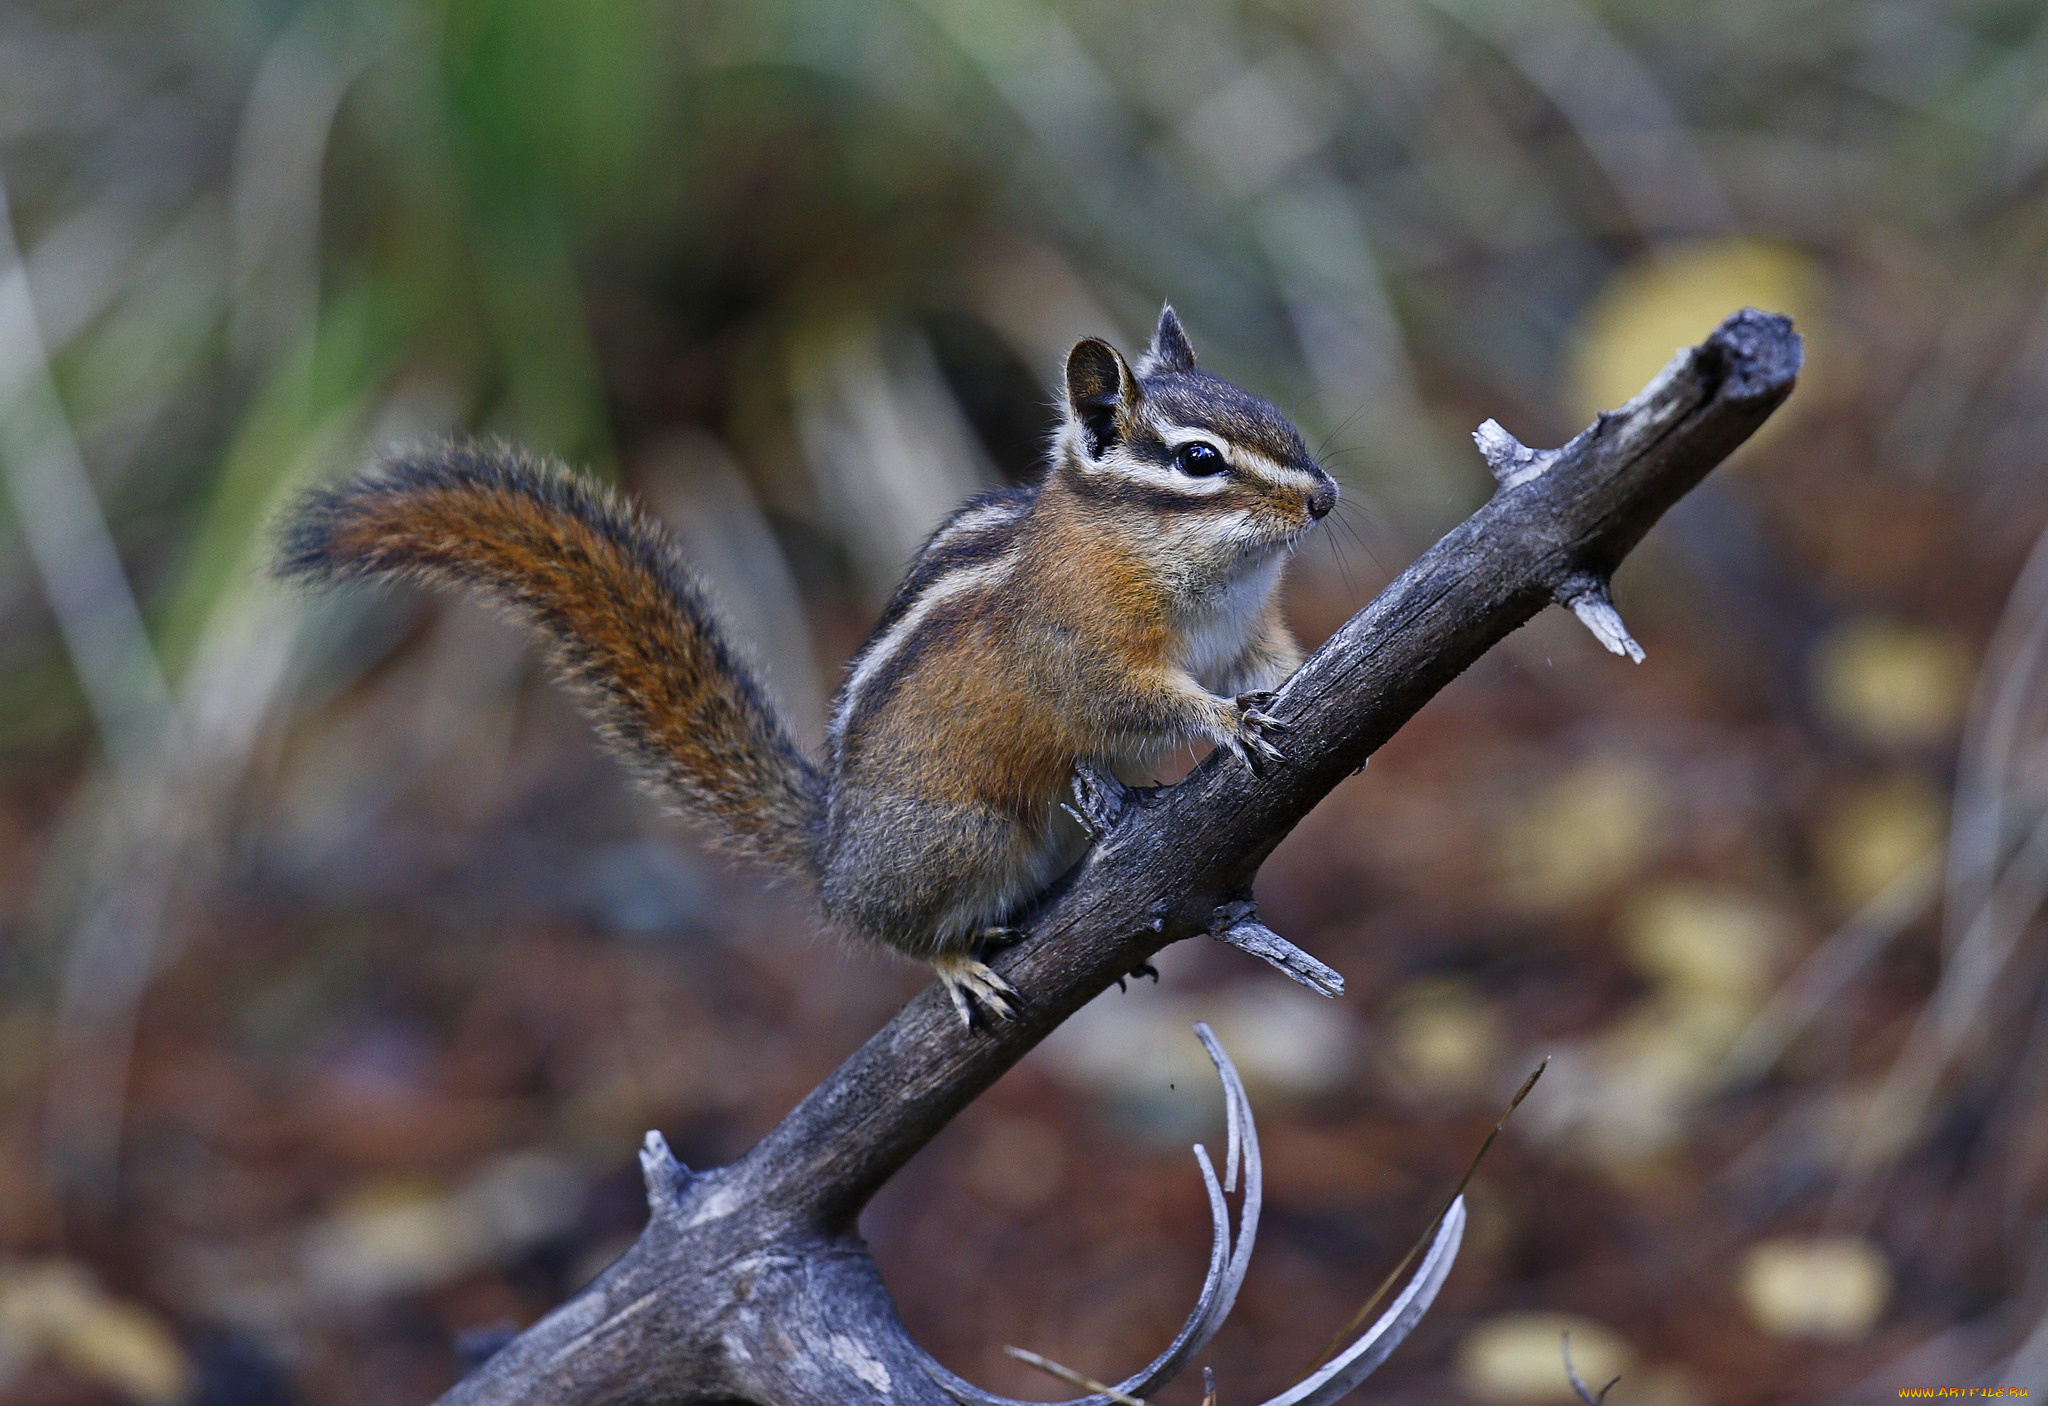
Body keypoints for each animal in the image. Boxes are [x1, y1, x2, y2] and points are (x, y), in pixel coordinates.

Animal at [275, 305, 1336, 1025]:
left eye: (1276, 414)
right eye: (1199, 460)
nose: (1324, 498)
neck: (1184, 570)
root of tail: (832, 853)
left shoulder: (1246, 633)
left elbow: (1273, 656)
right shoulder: (1082, 653)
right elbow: (1138, 700)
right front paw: (1227, 722)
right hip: (964, 837)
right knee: (892, 930)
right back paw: (953, 962)